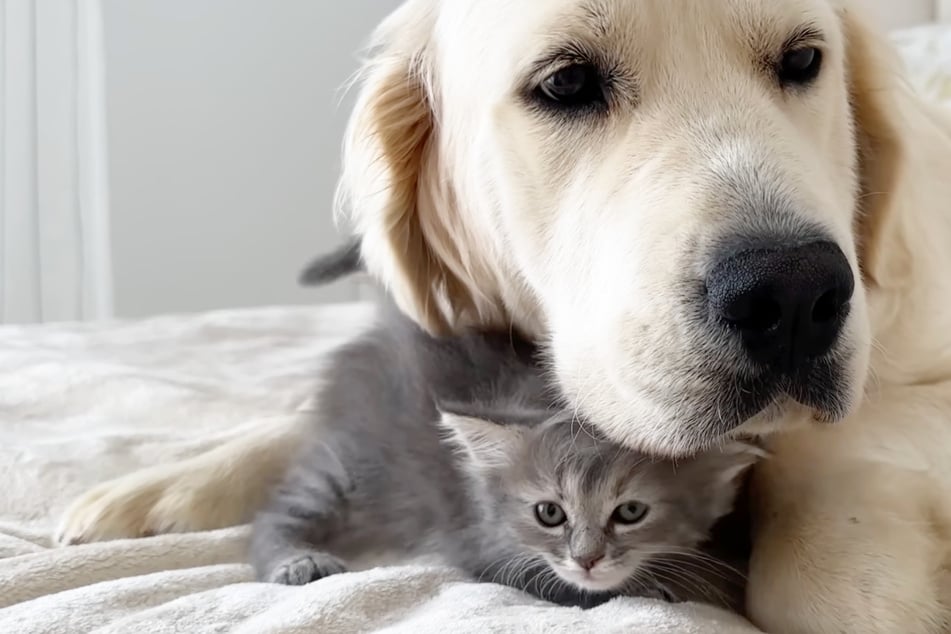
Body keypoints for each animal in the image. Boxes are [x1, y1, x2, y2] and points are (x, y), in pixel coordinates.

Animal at [251, 258, 760, 608]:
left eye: (631, 512)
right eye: (549, 513)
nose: (587, 559)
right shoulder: (484, 546)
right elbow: (578, 590)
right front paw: (661, 586)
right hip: (346, 464)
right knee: (274, 515)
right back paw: (298, 560)